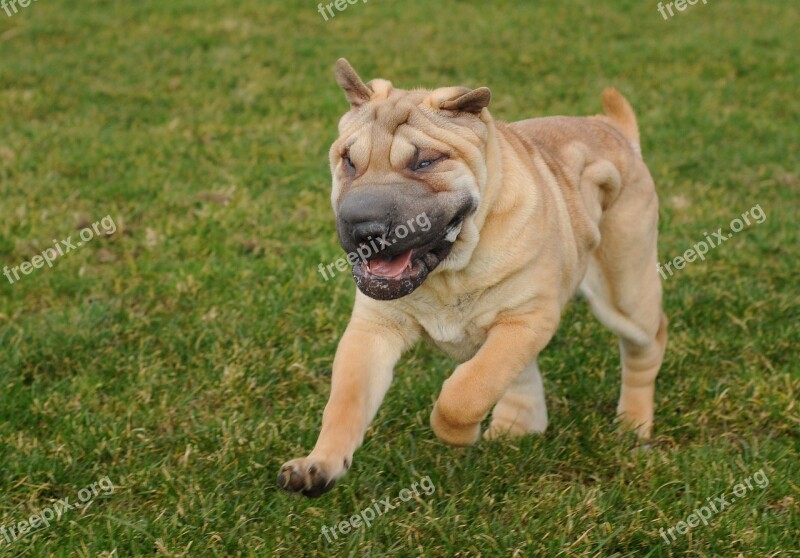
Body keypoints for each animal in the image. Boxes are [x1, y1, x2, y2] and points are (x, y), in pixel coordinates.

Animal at [278, 60, 664, 498]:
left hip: (626, 290)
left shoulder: (525, 320)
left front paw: (460, 434)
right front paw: (318, 464)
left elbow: (466, 392)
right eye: (348, 161)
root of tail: (611, 127)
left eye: (426, 162)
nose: (364, 228)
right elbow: (346, 401)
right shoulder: (373, 329)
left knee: (647, 346)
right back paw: (517, 427)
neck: (451, 272)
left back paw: (633, 424)